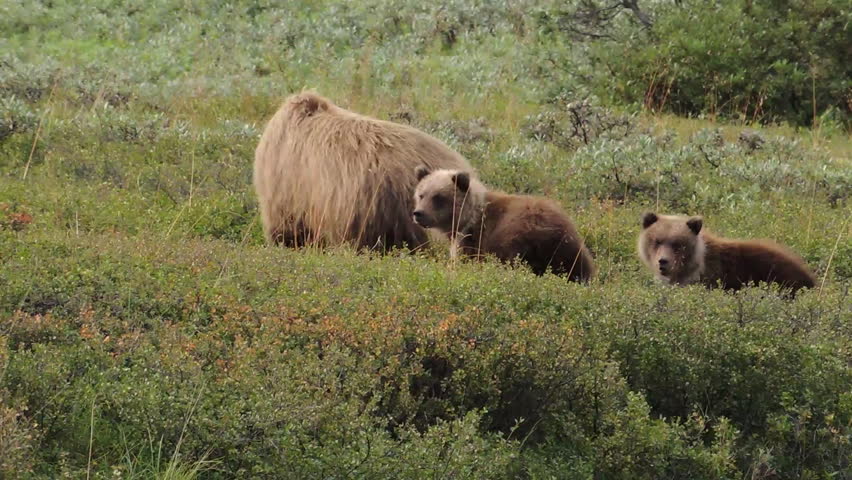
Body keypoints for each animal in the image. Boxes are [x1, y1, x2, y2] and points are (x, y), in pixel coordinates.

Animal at [412, 167, 595, 282]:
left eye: (438, 197)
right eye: (421, 194)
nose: (418, 213)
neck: (467, 218)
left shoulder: (474, 239)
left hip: (515, 241)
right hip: (570, 249)